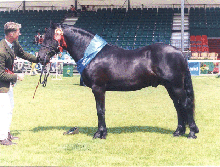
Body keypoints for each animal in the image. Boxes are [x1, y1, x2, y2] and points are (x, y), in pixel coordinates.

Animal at [37, 22, 199, 139]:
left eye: (50, 38)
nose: (40, 57)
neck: (94, 55)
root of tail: (179, 52)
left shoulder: (98, 88)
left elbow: (100, 110)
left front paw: (100, 134)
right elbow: (100, 110)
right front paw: (102, 132)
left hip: (176, 86)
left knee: (185, 104)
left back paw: (191, 133)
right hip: (170, 87)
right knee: (178, 106)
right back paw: (178, 132)